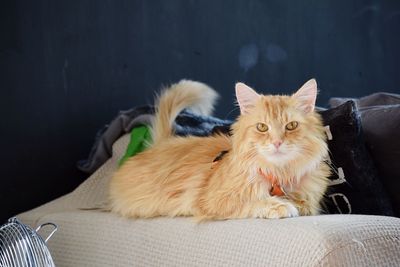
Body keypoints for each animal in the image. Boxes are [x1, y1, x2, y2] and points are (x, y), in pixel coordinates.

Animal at [109, 79, 332, 220]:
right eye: (262, 127)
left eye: (291, 126)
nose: (277, 142)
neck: (278, 174)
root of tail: (161, 144)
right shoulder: (210, 201)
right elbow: (251, 202)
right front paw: (278, 205)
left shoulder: (310, 203)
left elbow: (302, 204)